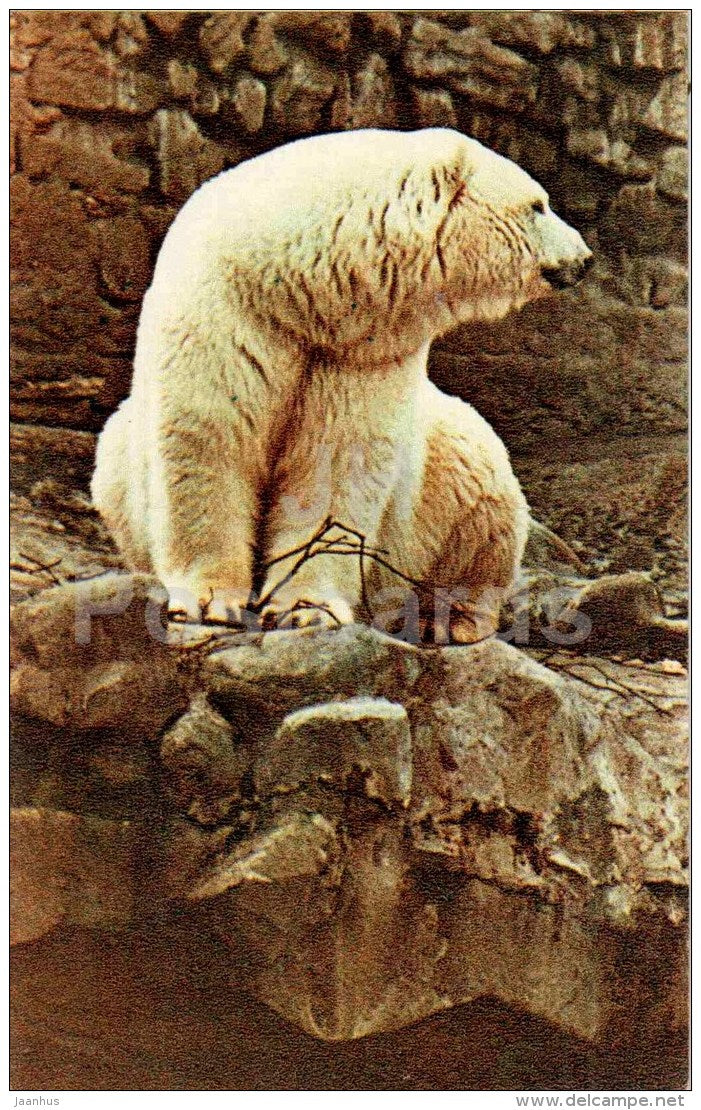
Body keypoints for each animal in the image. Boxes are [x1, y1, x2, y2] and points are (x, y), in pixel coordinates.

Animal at [91, 127, 591, 641]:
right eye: (538, 205)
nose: (585, 258)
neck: (300, 285)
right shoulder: (229, 310)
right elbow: (209, 434)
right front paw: (209, 599)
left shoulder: (361, 352)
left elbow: (335, 461)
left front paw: (304, 608)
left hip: (454, 471)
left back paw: (445, 619)